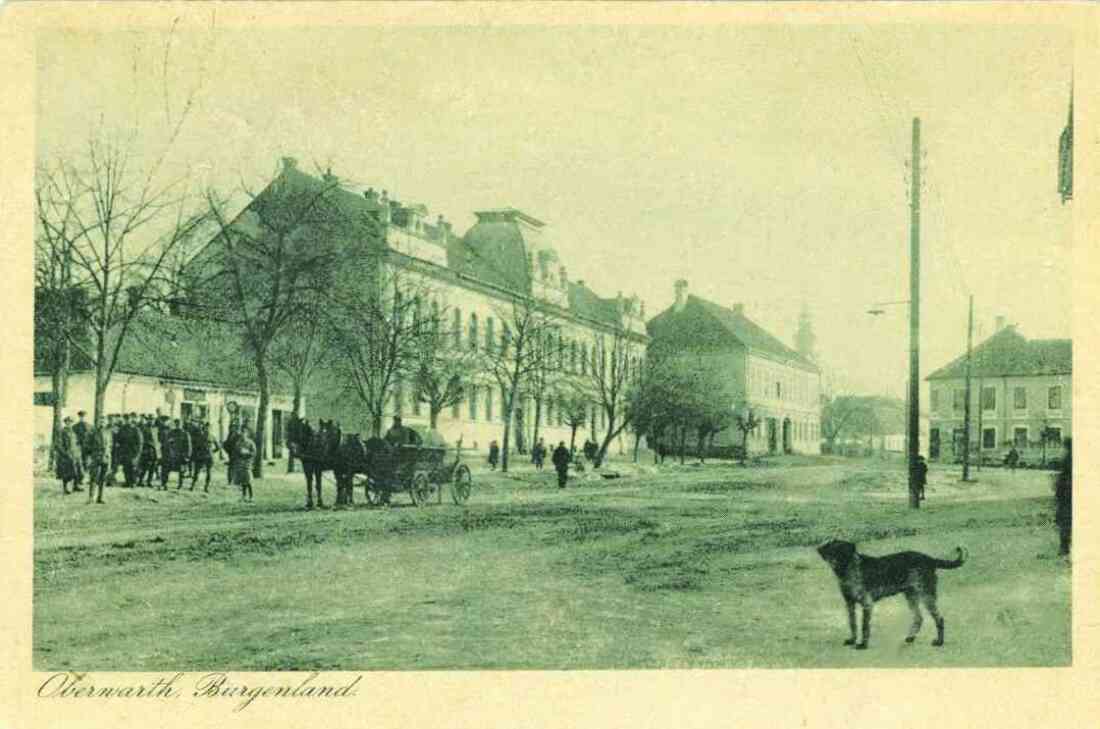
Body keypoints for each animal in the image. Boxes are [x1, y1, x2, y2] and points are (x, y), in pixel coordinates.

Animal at [818, 540, 963, 650]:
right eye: (831, 551)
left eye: (843, 551)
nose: (834, 562)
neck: (849, 569)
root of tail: (930, 559)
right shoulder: (849, 604)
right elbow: (852, 624)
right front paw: (852, 640)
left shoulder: (867, 603)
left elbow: (864, 626)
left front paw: (863, 644)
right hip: (911, 595)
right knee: (918, 618)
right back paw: (910, 638)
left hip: (926, 595)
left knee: (939, 619)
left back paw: (939, 642)